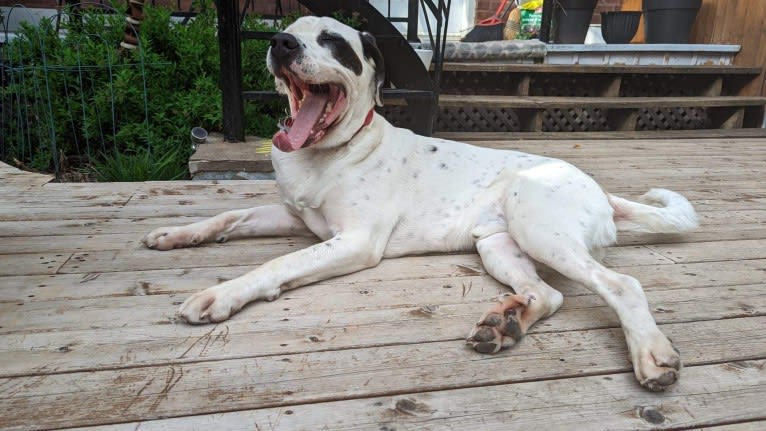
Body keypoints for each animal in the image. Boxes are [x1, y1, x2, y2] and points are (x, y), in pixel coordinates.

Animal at [141, 16, 700, 394]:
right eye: (287, 32)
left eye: (333, 42)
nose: (281, 44)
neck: (329, 153)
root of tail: (599, 189)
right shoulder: (295, 216)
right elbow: (228, 215)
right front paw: (176, 234)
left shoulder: (355, 242)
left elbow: (278, 264)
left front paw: (220, 294)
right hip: (499, 244)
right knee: (549, 293)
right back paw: (506, 323)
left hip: (537, 225)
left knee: (621, 285)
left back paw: (651, 354)